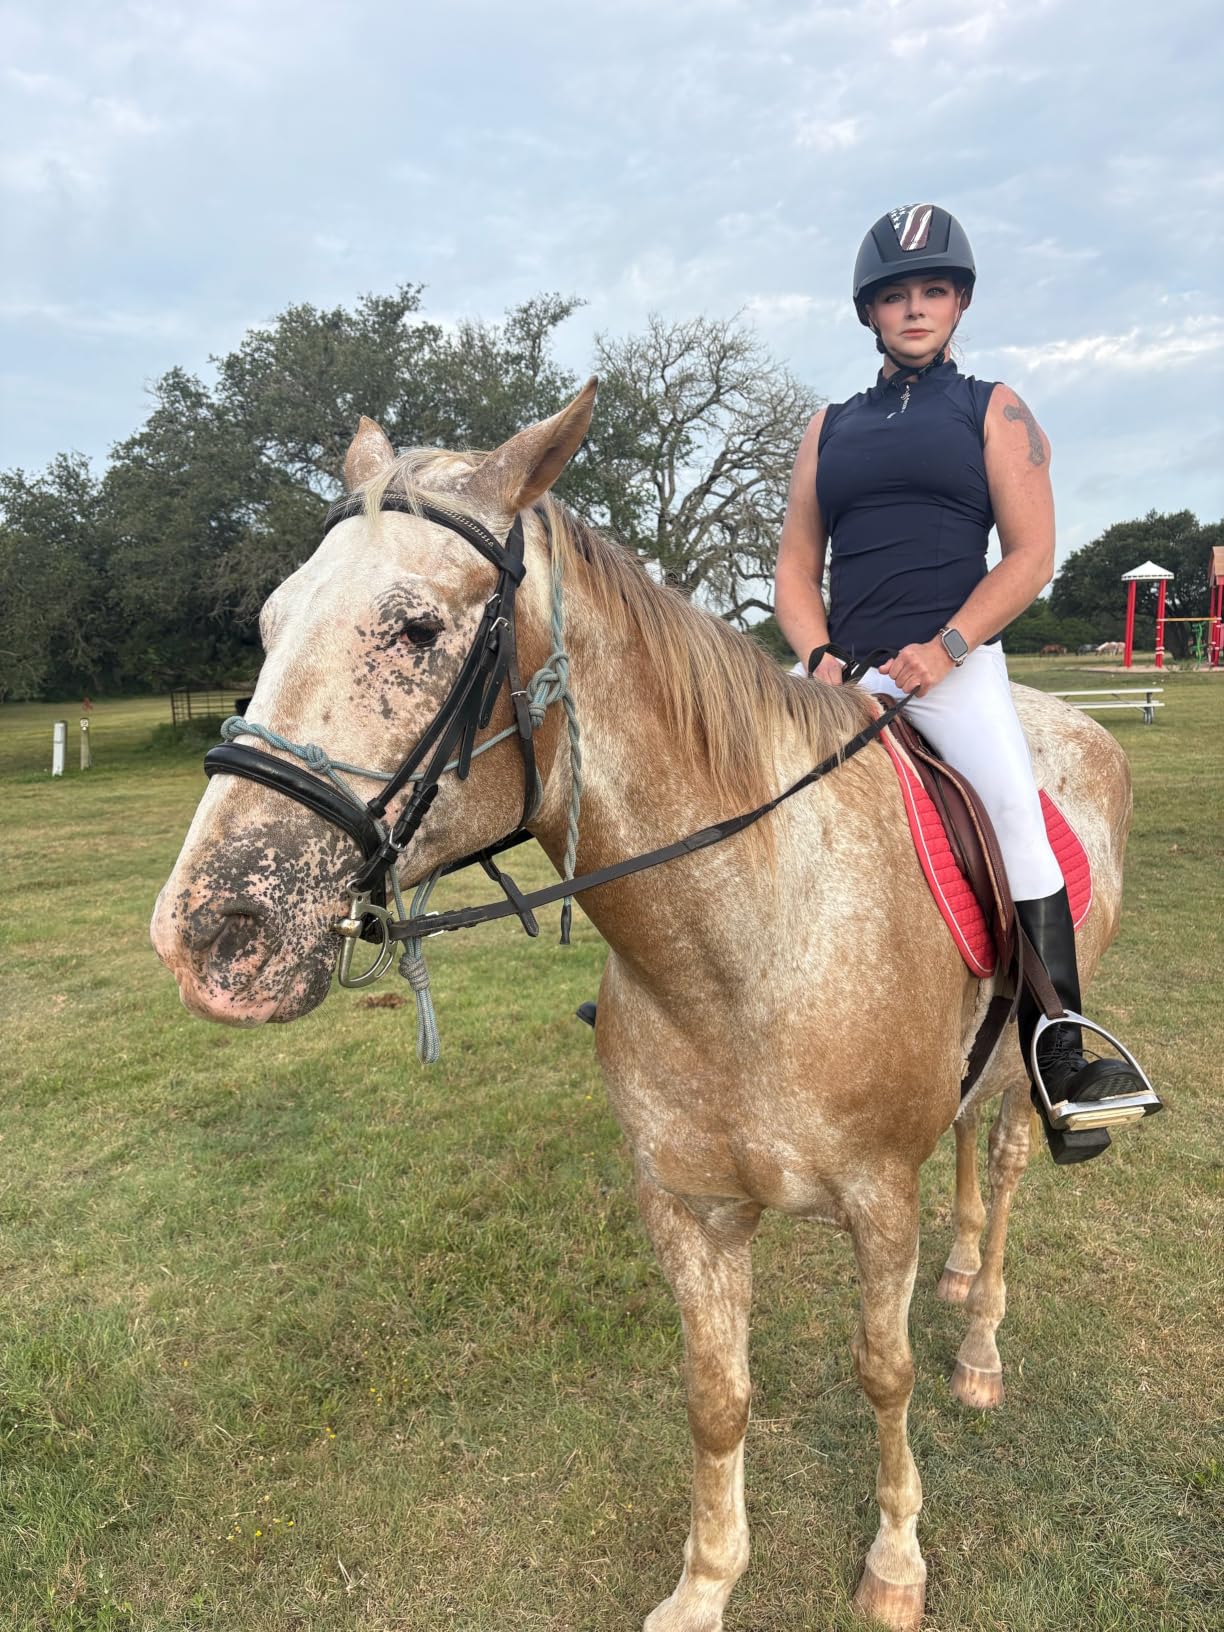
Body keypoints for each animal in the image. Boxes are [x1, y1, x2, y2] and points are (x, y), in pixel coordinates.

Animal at [151, 382, 1135, 1630]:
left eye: (416, 629)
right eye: (272, 624)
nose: (210, 936)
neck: (748, 955)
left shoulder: (878, 1202)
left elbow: (885, 1372)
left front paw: (896, 1560)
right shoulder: (688, 1209)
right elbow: (716, 1397)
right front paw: (706, 1583)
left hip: (1026, 1070)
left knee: (1002, 1166)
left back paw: (982, 1341)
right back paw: (961, 1277)